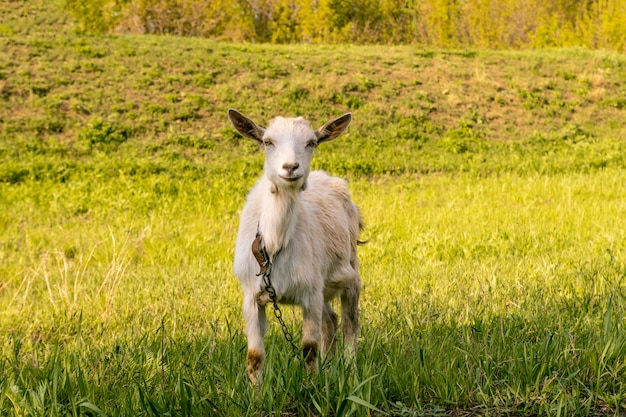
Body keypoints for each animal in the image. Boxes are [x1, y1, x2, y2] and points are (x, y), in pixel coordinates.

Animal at [228, 109, 360, 382]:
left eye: (311, 142)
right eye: (267, 141)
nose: (290, 167)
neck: (274, 245)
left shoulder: (310, 293)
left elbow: (309, 349)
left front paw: (311, 387)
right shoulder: (251, 297)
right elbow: (254, 355)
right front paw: (255, 392)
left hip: (351, 271)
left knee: (350, 322)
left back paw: (351, 371)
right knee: (330, 320)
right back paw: (329, 368)